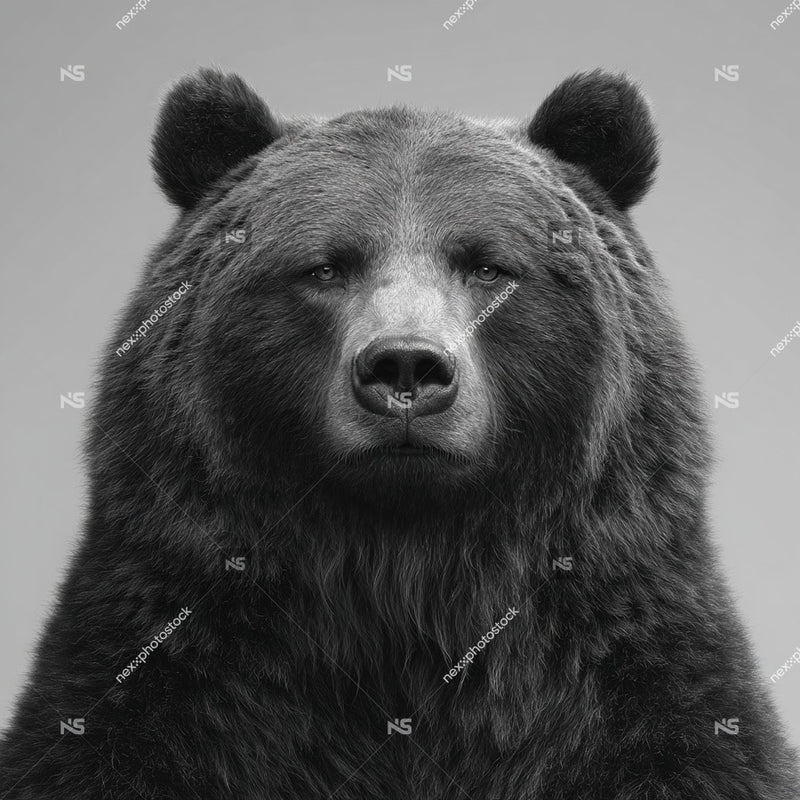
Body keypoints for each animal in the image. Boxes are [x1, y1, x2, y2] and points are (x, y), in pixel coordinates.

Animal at [0, 67, 797, 799]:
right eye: (324, 266)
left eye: (488, 265)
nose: (406, 366)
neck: (405, 580)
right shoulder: (161, 688)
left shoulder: (643, 698)